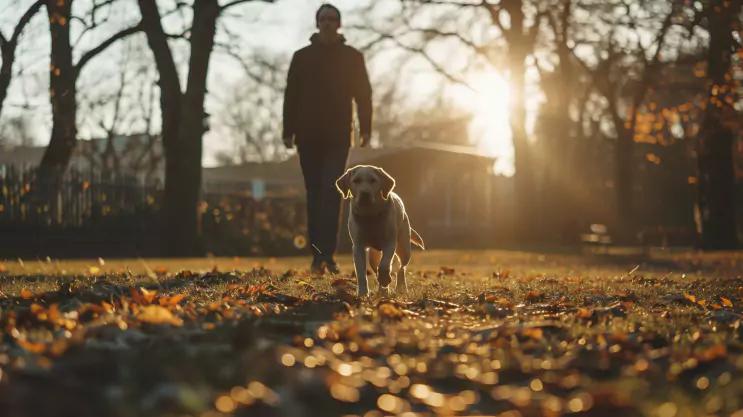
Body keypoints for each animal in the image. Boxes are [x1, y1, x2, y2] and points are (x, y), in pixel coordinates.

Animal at [336, 164, 424, 298]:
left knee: (401, 268)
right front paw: (362, 293)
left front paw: (385, 279)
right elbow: (361, 272)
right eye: (356, 181)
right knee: (379, 268)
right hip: (373, 257)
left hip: (404, 248)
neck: (370, 215)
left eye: (373, 180)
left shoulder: (390, 243)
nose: (365, 194)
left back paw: (400, 287)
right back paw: (382, 291)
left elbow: (384, 265)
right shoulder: (358, 246)